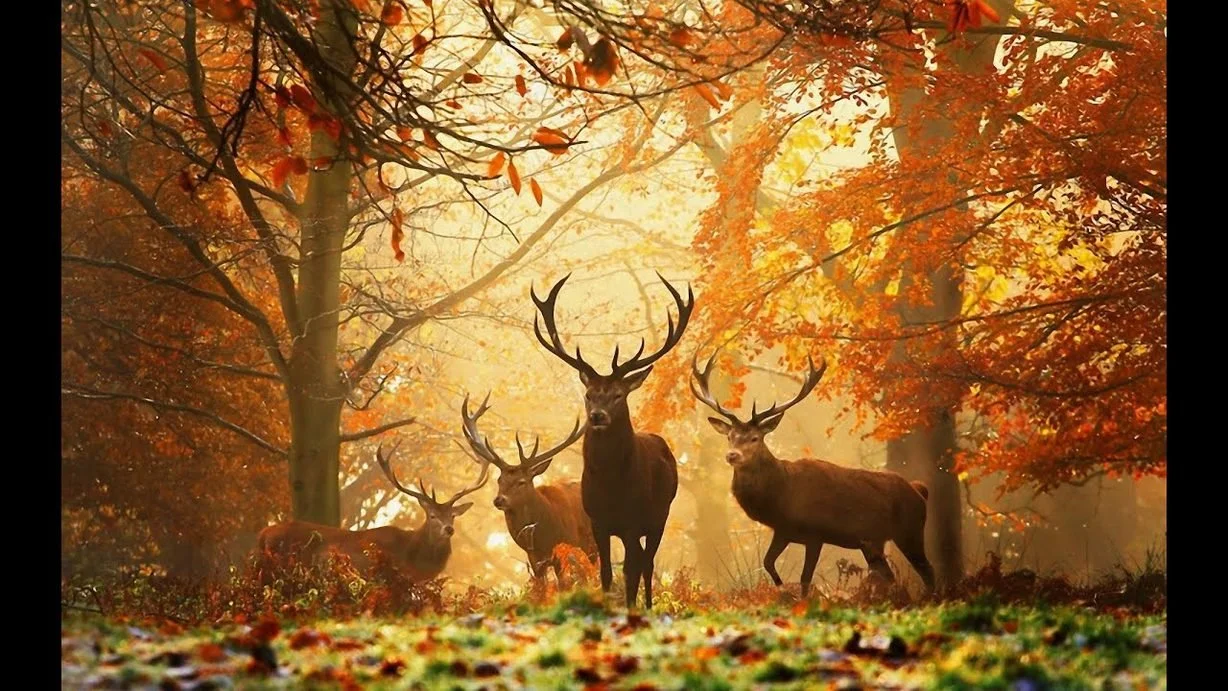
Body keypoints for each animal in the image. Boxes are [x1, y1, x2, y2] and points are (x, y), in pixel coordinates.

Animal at [459, 393, 598, 589]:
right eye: (499, 480)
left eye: (521, 482)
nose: (499, 500)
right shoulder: (534, 559)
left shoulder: (567, 546)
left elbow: (565, 584)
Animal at [530, 272, 693, 609]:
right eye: (589, 394)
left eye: (618, 394)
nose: (597, 416)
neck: (611, 486)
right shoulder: (598, 521)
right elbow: (605, 572)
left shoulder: (633, 520)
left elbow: (630, 571)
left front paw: (630, 609)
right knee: (642, 561)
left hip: (660, 515)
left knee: (647, 563)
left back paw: (647, 606)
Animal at [690, 352, 935, 597]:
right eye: (729, 436)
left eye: (754, 438)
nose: (732, 455)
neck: (782, 496)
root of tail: (919, 490)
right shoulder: (783, 530)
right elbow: (768, 562)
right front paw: (781, 589)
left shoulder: (815, 533)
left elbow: (805, 578)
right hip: (873, 542)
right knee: (889, 576)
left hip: (910, 530)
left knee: (928, 571)